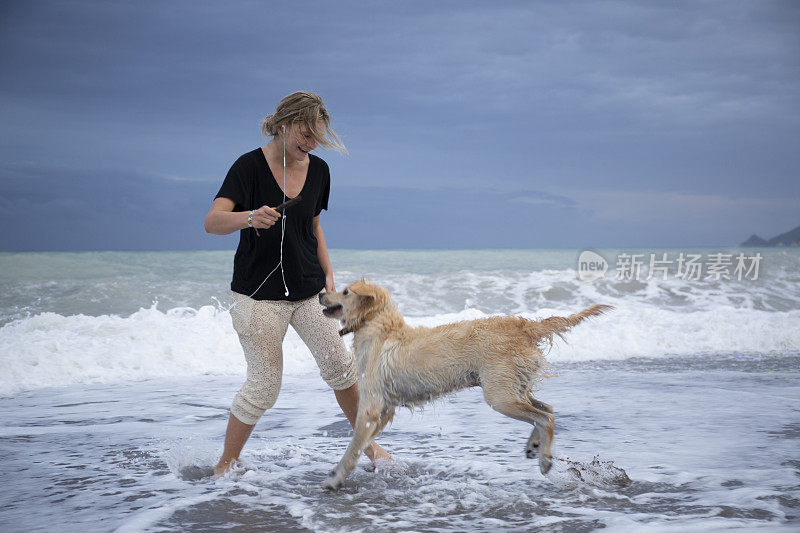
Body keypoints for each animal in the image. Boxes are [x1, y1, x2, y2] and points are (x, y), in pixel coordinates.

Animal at [316, 280, 608, 488]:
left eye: (345, 291)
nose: (320, 294)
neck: (377, 326)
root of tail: (524, 326)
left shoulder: (371, 407)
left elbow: (353, 445)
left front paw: (336, 478)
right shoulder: (384, 409)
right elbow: (360, 443)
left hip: (499, 395)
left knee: (545, 417)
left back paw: (545, 459)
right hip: (513, 385)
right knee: (546, 409)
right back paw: (534, 446)